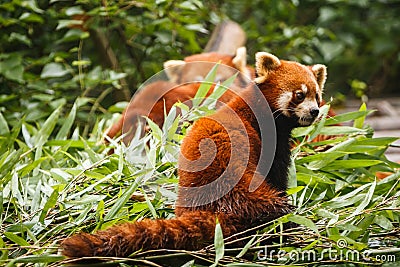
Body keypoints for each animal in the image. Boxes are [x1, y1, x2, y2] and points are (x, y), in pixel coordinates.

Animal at [61, 51, 326, 258]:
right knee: (272, 209)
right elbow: (278, 178)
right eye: (299, 94)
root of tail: (211, 206)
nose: (315, 111)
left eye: (317, 95)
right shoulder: (271, 144)